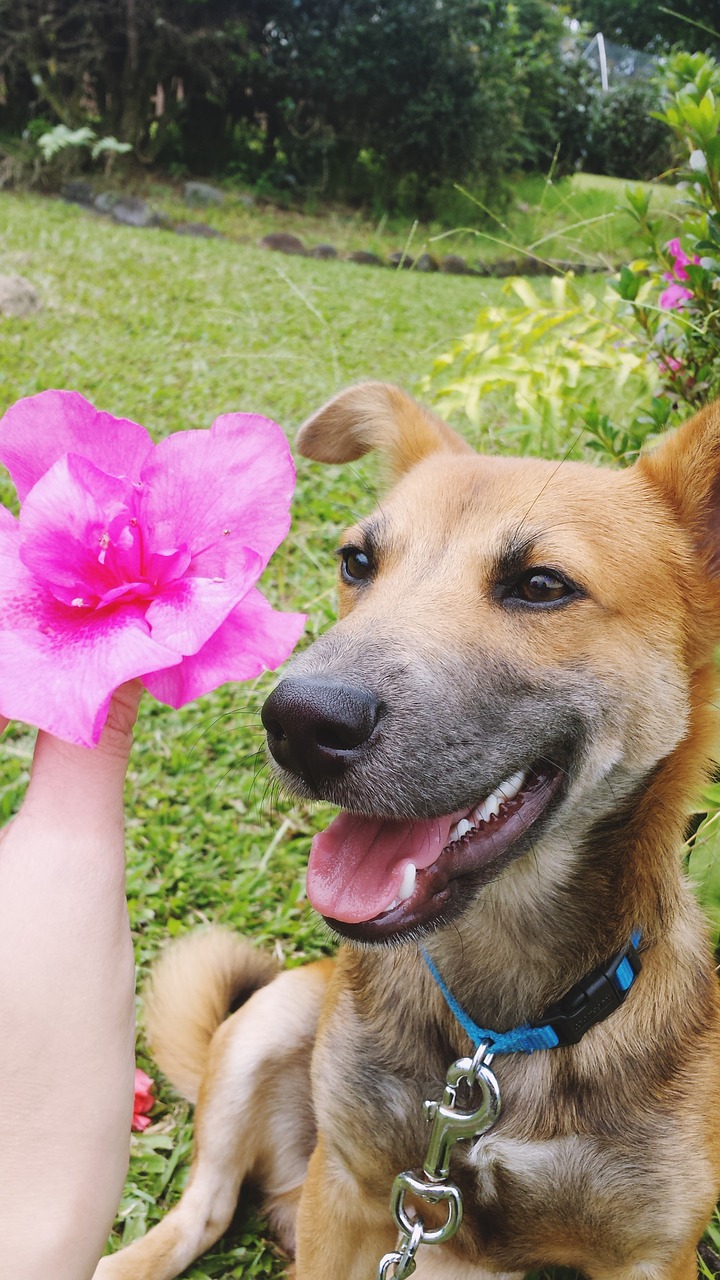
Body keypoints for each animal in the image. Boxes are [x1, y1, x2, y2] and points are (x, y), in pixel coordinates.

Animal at [95, 384, 717, 1280]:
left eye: (541, 585)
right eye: (358, 563)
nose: (299, 722)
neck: (494, 1039)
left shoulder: (649, 1251)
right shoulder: (350, 1187)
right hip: (276, 1017)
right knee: (203, 1208)